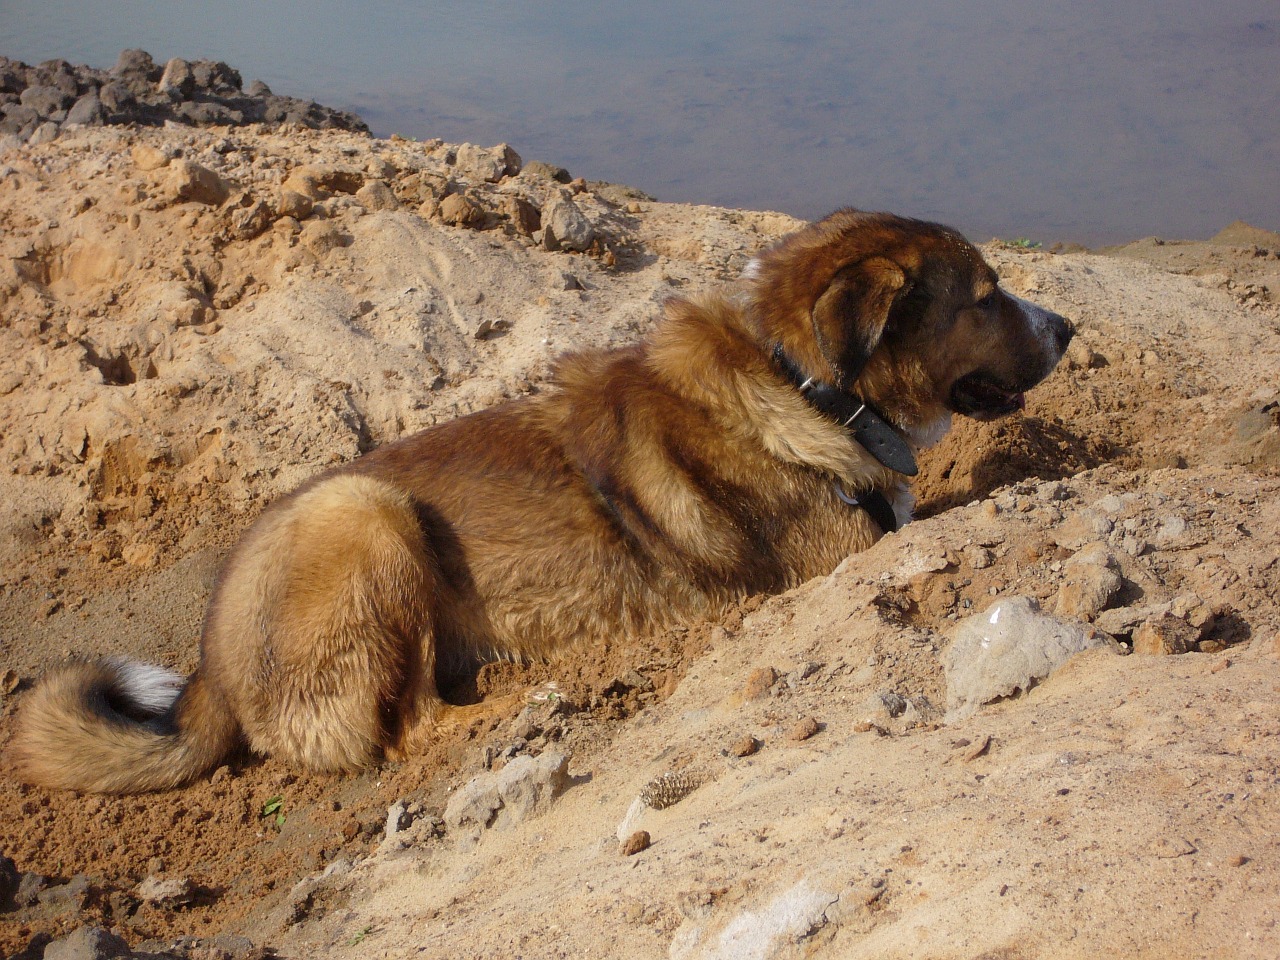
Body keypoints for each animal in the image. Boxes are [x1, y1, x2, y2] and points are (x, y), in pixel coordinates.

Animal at [10, 209, 1070, 798]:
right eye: (986, 296)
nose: (1067, 327)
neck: (800, 379)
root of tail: (210, 675)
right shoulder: (840, 554)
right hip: (368, 512)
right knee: (407, 727)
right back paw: (525, 694)